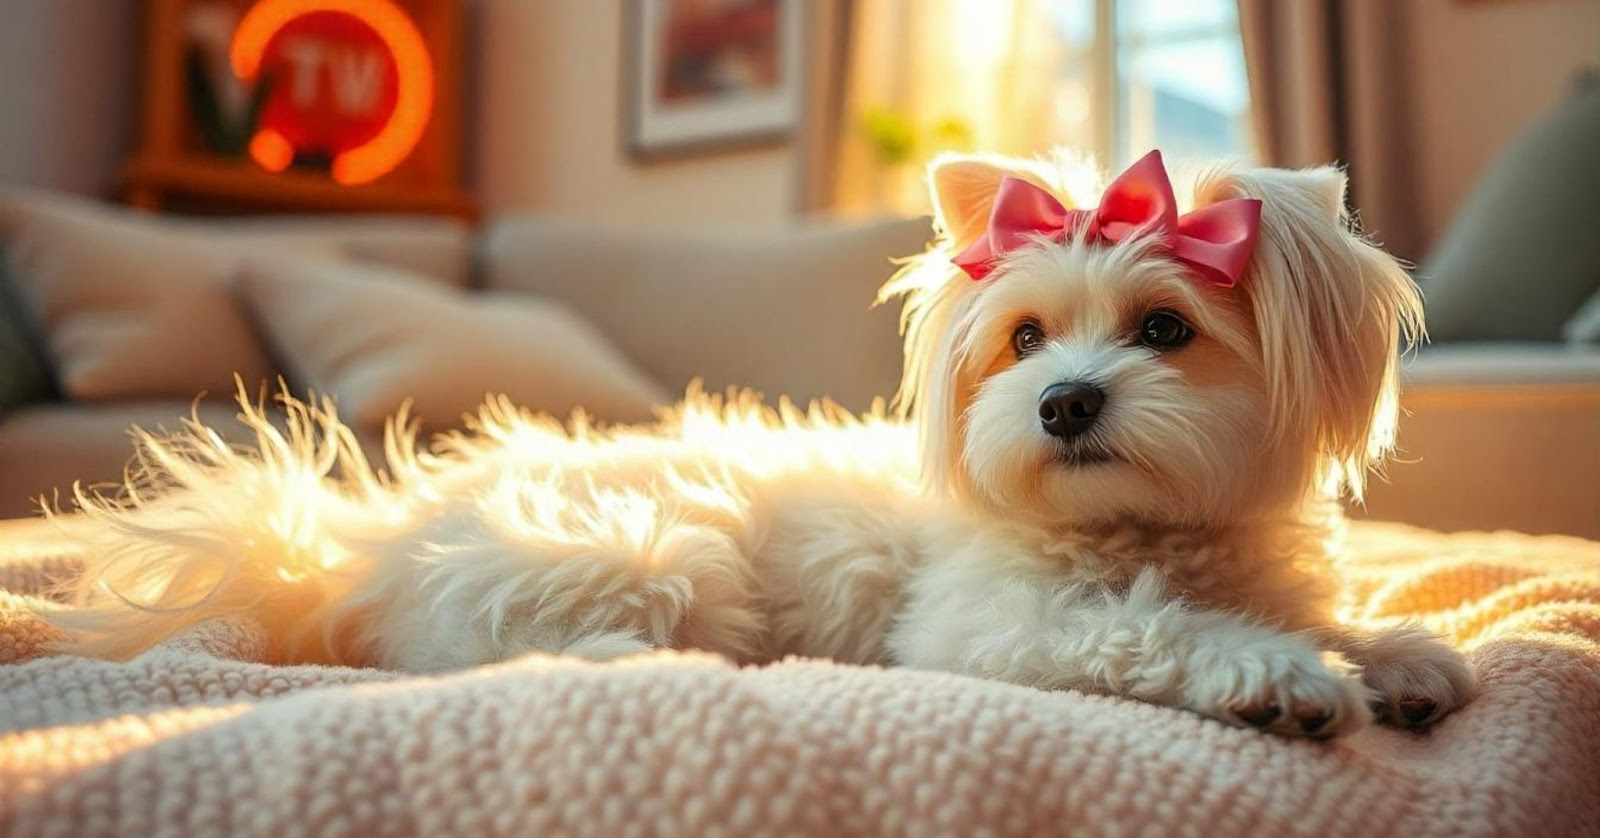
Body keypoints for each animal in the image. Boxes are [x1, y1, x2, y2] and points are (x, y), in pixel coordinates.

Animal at [50, 150, 1472, 738]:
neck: (1142, 529)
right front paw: (1274, 675)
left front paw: (1397, 654)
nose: (1064, 402)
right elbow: (1151, 631)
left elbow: (1336, 620)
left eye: (1167, 327)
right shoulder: (991, 631)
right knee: (487, 661)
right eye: (1021, 340)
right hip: (653, 553)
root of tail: (361, 540)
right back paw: (650, 662)